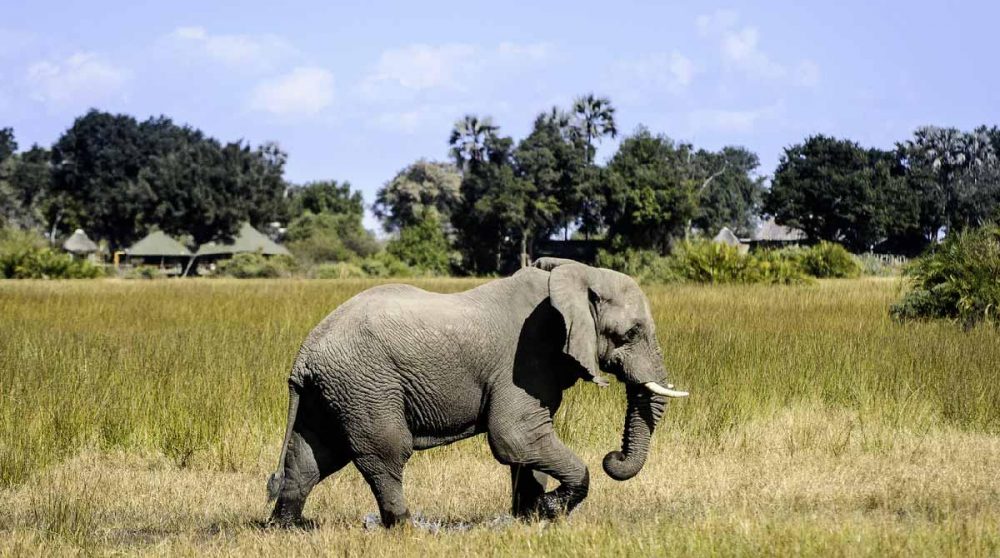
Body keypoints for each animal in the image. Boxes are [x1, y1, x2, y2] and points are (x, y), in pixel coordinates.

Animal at [266, 257, 688, 528]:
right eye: (630, 333)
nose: (612, 456)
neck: (575, 275)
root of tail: (303, 356)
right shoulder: (524, 358)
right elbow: (514, 436)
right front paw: (551, 510)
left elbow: (527, 446)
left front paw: (529, 519)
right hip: (365, 384)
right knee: (384, 453)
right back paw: (406, 528)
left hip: (333, 391)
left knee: (311, 455)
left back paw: (288, 527)